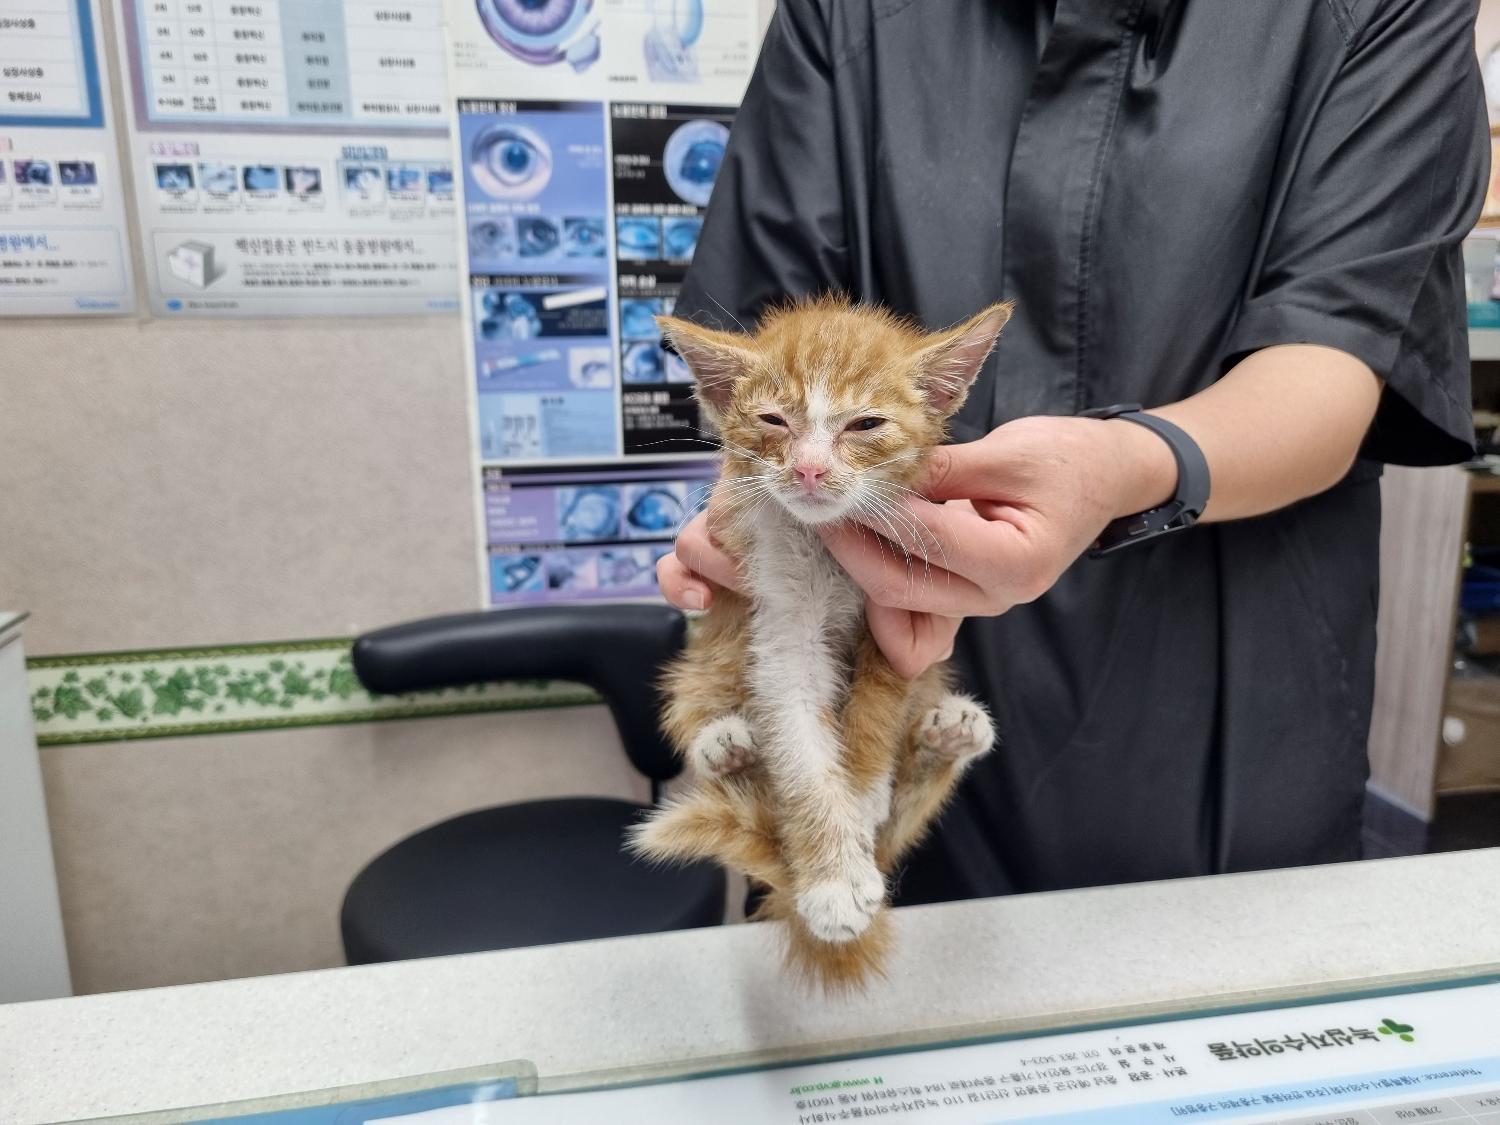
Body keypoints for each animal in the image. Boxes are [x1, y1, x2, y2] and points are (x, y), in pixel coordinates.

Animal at [627, 297, 1014, 984]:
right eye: (773, 419)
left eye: (865, 424)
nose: (810, 467)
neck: (824, 545)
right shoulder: (778, 629)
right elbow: (802, 754)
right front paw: (832, 879)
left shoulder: (901, 614)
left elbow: (875, 717)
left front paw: (860, 796)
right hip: (702, 664)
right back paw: (729, 748)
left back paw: (948, 735)